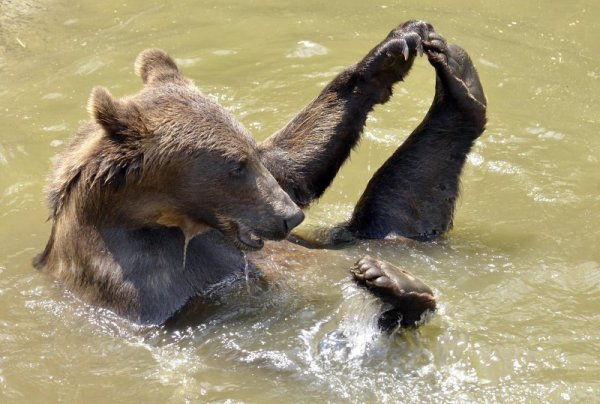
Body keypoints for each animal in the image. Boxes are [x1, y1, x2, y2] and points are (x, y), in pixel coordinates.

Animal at [34, 20, 488, 330]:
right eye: (234, 166)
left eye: (249, 153)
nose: (290, 217)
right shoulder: (149, 284)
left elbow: (293, 159)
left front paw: (394, 47)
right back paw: (394, 283)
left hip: (382, 235)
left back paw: (457, 74)